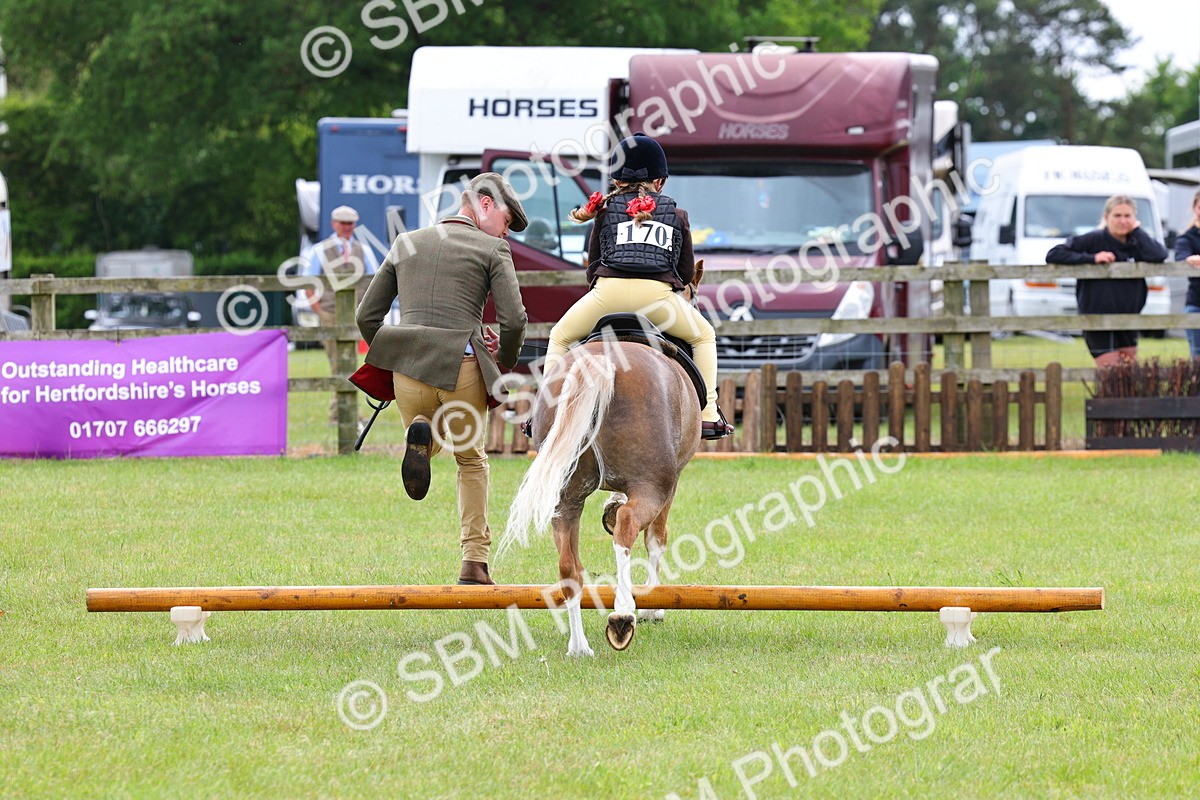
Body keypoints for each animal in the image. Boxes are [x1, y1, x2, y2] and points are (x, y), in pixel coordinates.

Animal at [498, 266, 706, 657]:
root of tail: (600, 362)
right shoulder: (670, 483)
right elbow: (656, 538)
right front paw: (653, 607)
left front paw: (609, 507)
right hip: (653, 485)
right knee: (628, 528)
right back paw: (623, 615)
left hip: (566, 497)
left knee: (570, 567)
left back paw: (579, 646)